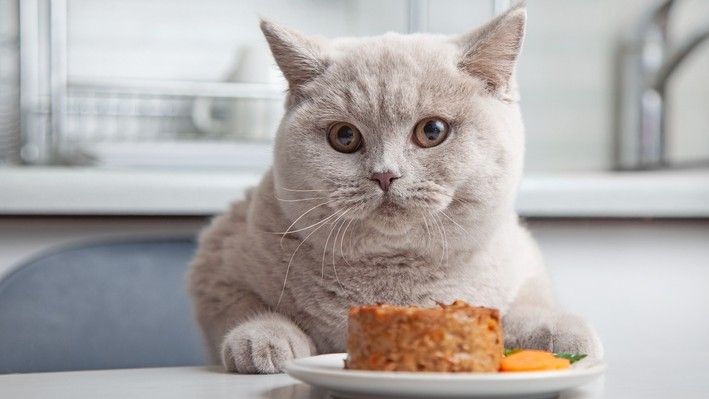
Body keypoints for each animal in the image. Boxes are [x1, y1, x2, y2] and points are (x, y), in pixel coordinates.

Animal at [188, 4, 604, 376]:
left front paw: (561, 334)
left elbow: (523, 307)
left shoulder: (524, 264)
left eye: (432, 131)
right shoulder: (216, 263)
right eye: (344, 136)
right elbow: (242, 305)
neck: (396, 274)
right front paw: (263, 339)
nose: (385, 175)